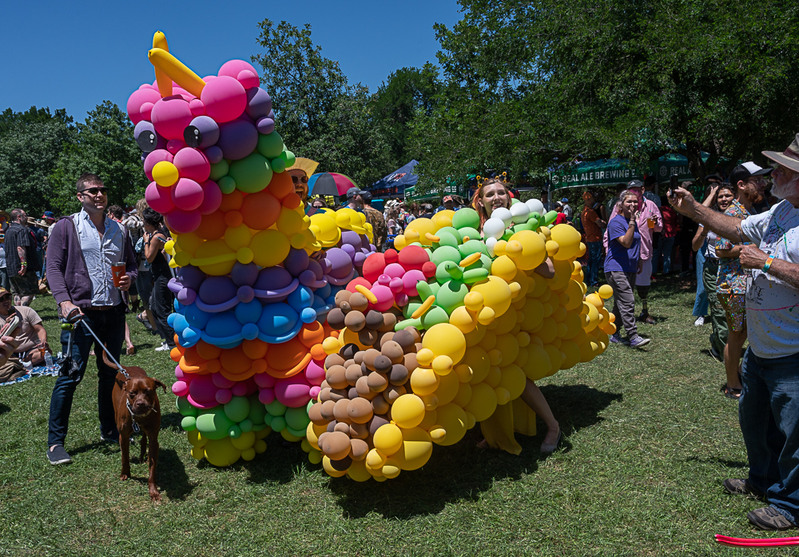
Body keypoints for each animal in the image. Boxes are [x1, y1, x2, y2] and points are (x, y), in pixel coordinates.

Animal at [106, 354, 167, 502]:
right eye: (132, 393)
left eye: (148, 391)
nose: (140, 404)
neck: (139, 417)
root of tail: (126, 368)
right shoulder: (123, 437)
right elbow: (124, 457)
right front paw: (125, 473)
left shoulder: (154, 438)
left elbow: (152, 468)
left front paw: (153, 491)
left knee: (144, 438)